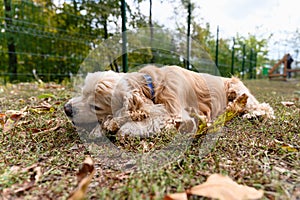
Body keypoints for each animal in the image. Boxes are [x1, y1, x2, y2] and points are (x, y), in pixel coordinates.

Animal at [64, 65, 276, 137]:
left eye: (96, 106)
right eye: (82, 92)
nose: (66, 109)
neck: (151, 84)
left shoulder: (179, 117)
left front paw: (121, 127)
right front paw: (104, 126)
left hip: (236, 87)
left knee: (263, 106)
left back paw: (253, 114)